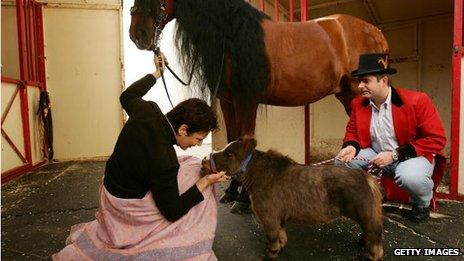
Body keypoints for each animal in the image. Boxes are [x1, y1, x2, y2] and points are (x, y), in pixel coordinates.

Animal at [128, 0, 388, 203]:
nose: (137, 35)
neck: (232, 36)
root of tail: (375, 32)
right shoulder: (228, 101)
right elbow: (233, 139)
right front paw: (231, 192)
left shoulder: (247, 100)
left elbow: (246, 140)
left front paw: (243, 198)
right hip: (346, 94)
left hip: (356, 94)